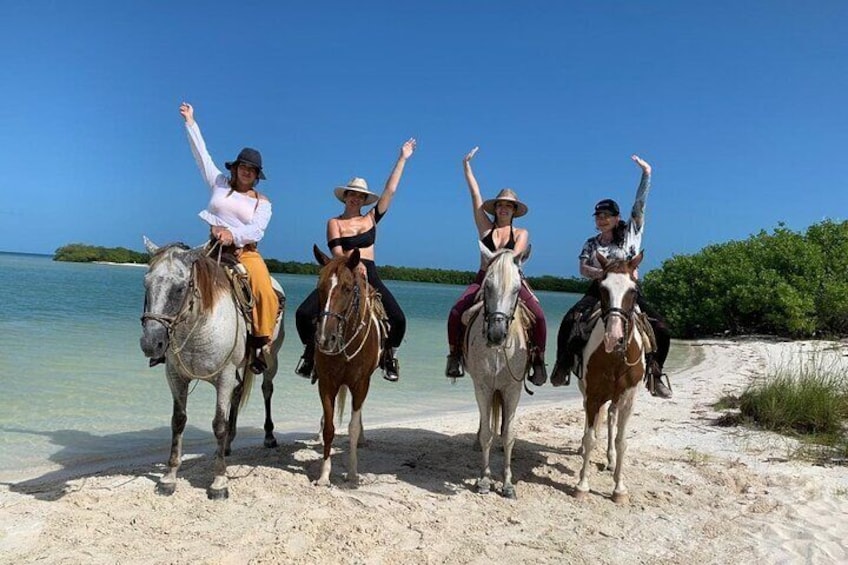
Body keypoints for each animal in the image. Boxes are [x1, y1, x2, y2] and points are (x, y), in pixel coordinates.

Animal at [139, 237, 284, 498]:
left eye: (179, 288)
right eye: (146, 283)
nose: (151, 343)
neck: (199, 326)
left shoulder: (224, 376)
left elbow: (219, 424)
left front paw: (219, 482)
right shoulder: (176, 376)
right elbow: (178, 421)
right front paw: (169, 478)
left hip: (271, 360)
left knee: (267, 389)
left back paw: (269, 436)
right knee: (237, 394)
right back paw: (227, 446)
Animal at [312, 243, 384, 484]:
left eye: (346, 288)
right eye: (320, 287)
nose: (325, 339)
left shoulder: (360, 384)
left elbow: (352, 428)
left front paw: (352, 473)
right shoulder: (326, 383)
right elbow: (330, 428)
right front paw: (324, 476)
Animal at [464, 242, 528, 498]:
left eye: (517, 289)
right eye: (487, 286)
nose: (496, 334)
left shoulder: (512, 389)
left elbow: (509, 434)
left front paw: (508, 484)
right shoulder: (482, 387)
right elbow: (486, 434)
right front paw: (484, 479)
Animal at [576, 251, 648, 502]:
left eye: (633, 290)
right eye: (602, 288)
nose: (614, 338)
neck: (616, 358)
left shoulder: (628, 399)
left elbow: (622, 441)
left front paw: (619, 488)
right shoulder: (593, 394)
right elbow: (590, 437)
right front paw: (582, 485)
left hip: (616, 398)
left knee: (611, 416)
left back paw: (610, 459)